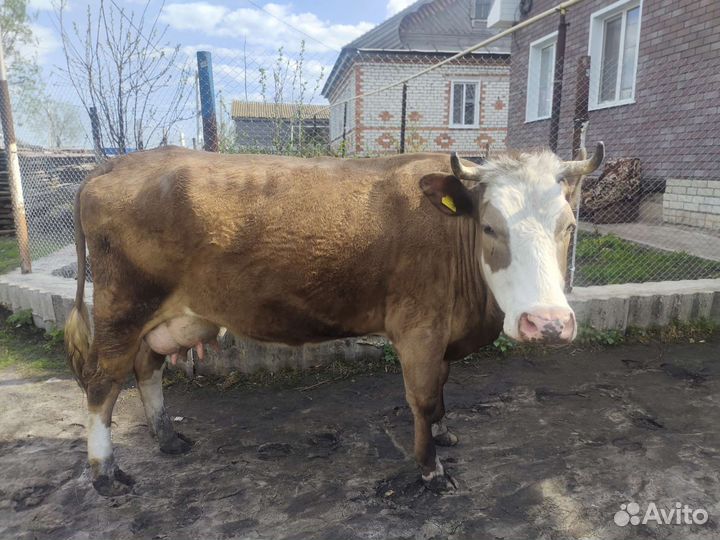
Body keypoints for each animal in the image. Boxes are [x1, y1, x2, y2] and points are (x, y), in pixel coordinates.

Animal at [64, 143, 604, 495]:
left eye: (569, 225)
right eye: (490, 227)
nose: (548, 323)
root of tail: (115, 163)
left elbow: (442, 391)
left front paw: (444, 433)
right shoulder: (419, 328)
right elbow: (424, 399)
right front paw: (431, 468)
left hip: (162, 315)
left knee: (147, 368)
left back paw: (168, 438)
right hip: (122, 307)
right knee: (101, 384)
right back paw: (105, 473)